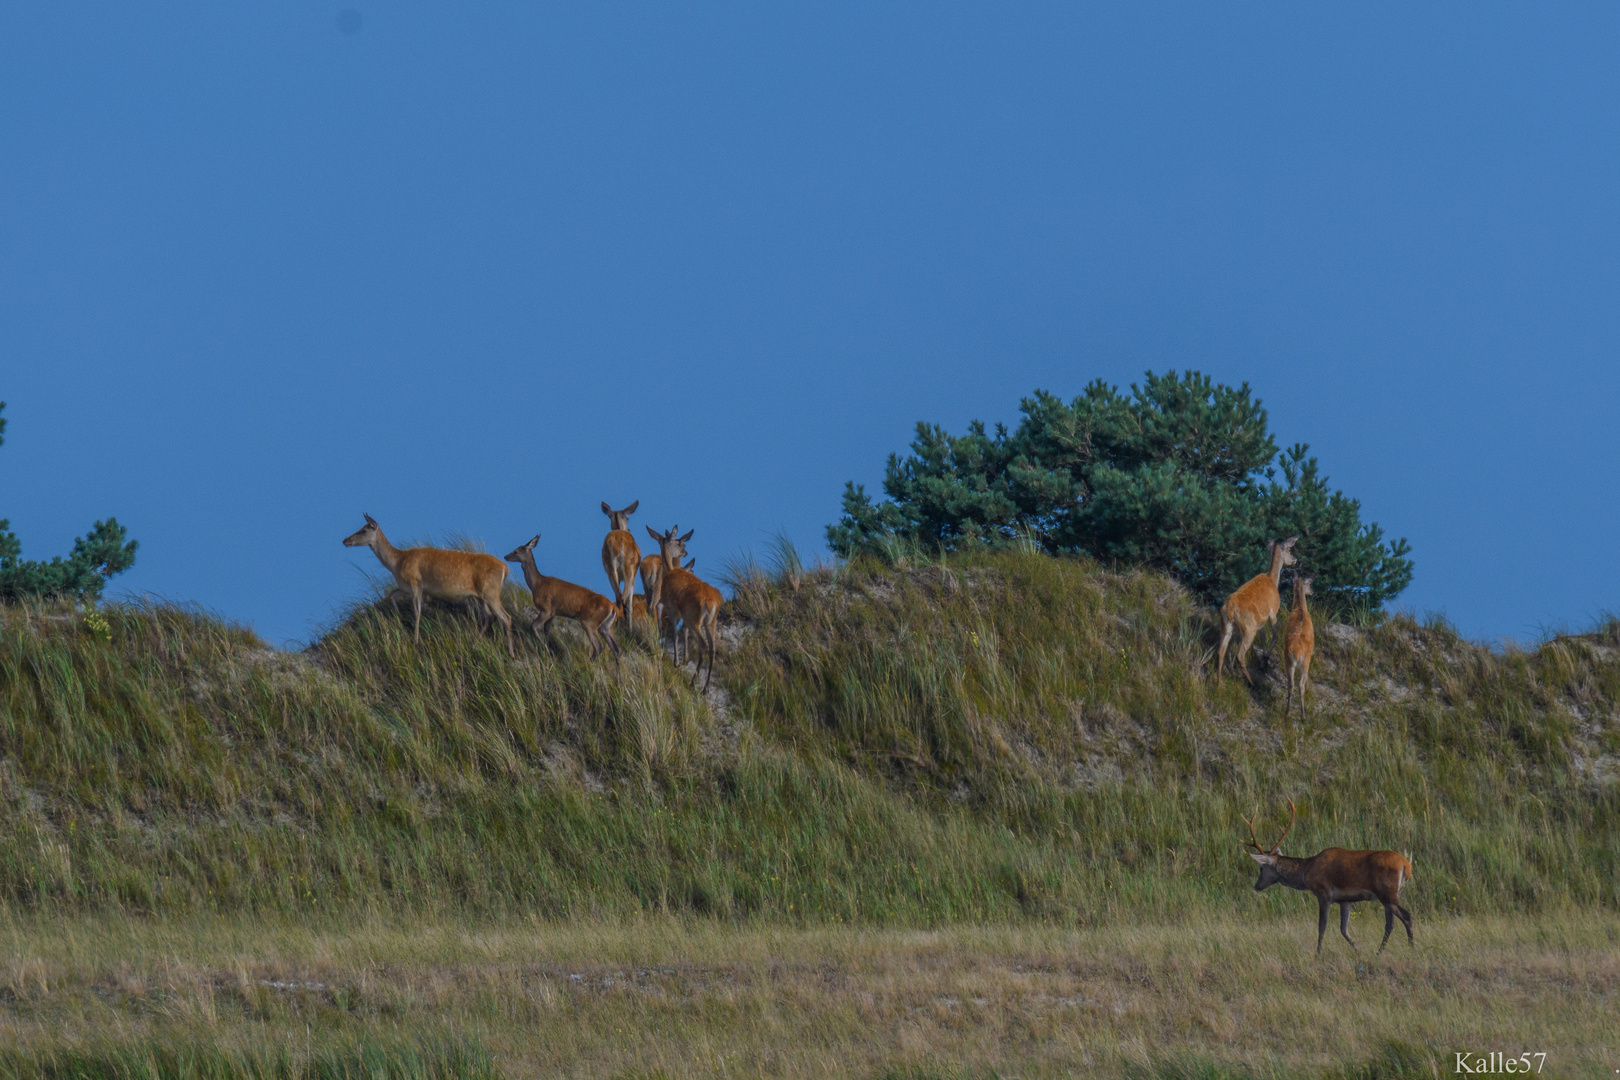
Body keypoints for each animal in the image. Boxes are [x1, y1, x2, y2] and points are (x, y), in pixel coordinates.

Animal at [340, 514, 511, 660]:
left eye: (364, 530)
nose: (345, 540)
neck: (396, 563)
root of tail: (505, 568)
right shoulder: (405, 587)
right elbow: (392, 595)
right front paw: (399, 617)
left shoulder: (416, 584)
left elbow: (417, 612)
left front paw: (415, 641)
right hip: (481, 595)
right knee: (489, 616)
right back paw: (475, 643)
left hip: (491, 592)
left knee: (506, 617)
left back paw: (510, 652)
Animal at [651, 524, 722, 693]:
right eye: (679, 543)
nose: (685, 551)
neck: (670, 570)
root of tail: (711, 602)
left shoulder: (672, 607)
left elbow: (675, 633)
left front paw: (677, 662)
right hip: (710, 622)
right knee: (712, 648)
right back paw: (705, 687)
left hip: (693, 618)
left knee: (703, 645)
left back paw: (693, 681)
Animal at [1218, 537, 1296, 683]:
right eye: (1289, 549)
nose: (1295, 559)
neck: (1272, 579)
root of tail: (1229, 608)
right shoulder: (1273, 612)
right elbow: (1275, 636)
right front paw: (1265, 661)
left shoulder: (1261, 622)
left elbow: (1264, 637)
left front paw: (1263, 660)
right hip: (1249, 628)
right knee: (1240, 655)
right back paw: (1251, 681)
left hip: (1226, 626)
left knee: (1221, 651)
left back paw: (1219, 681)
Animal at [1237, 799, 1419, 958]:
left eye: (1261, 867)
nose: (1256, 886)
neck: (1307, 871)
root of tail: (1406, 865)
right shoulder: (1345, 900)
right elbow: (1343, 929)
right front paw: (1358, 951)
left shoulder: (1323, 893)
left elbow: (1322, 927)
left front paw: (1318, 954)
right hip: (1390, 894)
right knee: (1390, 923)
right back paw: (1379, 952)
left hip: (1386, 892)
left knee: (1406, 916)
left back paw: (1411, 950)